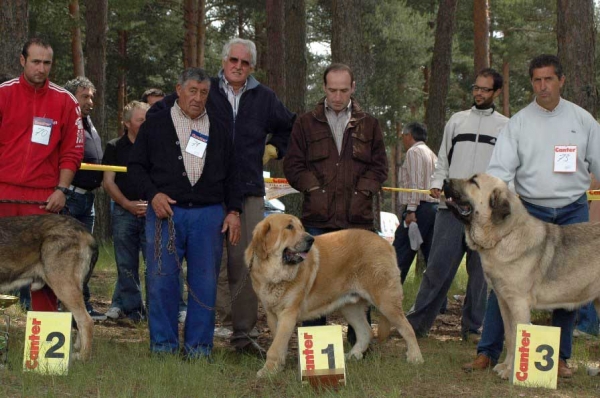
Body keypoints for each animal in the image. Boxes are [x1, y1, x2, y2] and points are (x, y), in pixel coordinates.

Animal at [244, 213, 422, 378]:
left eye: (301, 227)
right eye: (289, 227)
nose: (310, 239)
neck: (274, 275)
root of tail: (386, 243)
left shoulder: (288, 314)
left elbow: (275, 346)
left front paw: (267, 371)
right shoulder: (271, 314)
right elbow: (278, 343)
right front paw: (277, 367)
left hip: (386, 303)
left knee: (407, 328)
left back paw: (415, 357)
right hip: (350, 308)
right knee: (366, 331)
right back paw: (353, 356)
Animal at [442, 174, 600, 380]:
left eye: (473, 182)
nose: (445, 181)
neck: (504, 235)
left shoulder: (518, 302)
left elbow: (518, 335)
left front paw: (512, 372)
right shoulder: (503, 301)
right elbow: (509, 336)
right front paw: (505, 367)